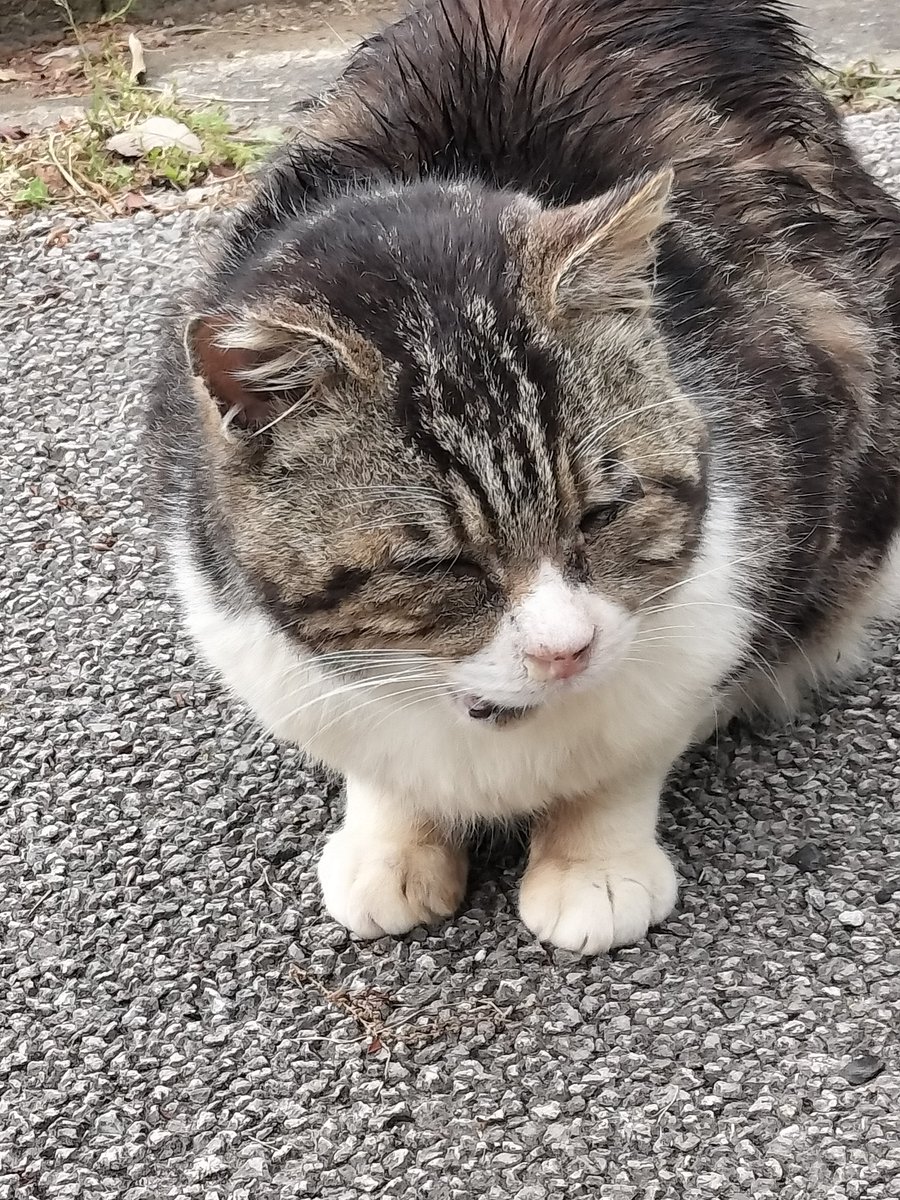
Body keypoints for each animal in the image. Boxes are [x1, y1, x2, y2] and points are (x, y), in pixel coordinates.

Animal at [146, 0, 900, 955]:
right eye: (440, 564)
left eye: (603, 513)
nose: (564, 650)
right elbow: (381, 767)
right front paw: (391, 839)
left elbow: (634, 749)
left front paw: (592, 861)